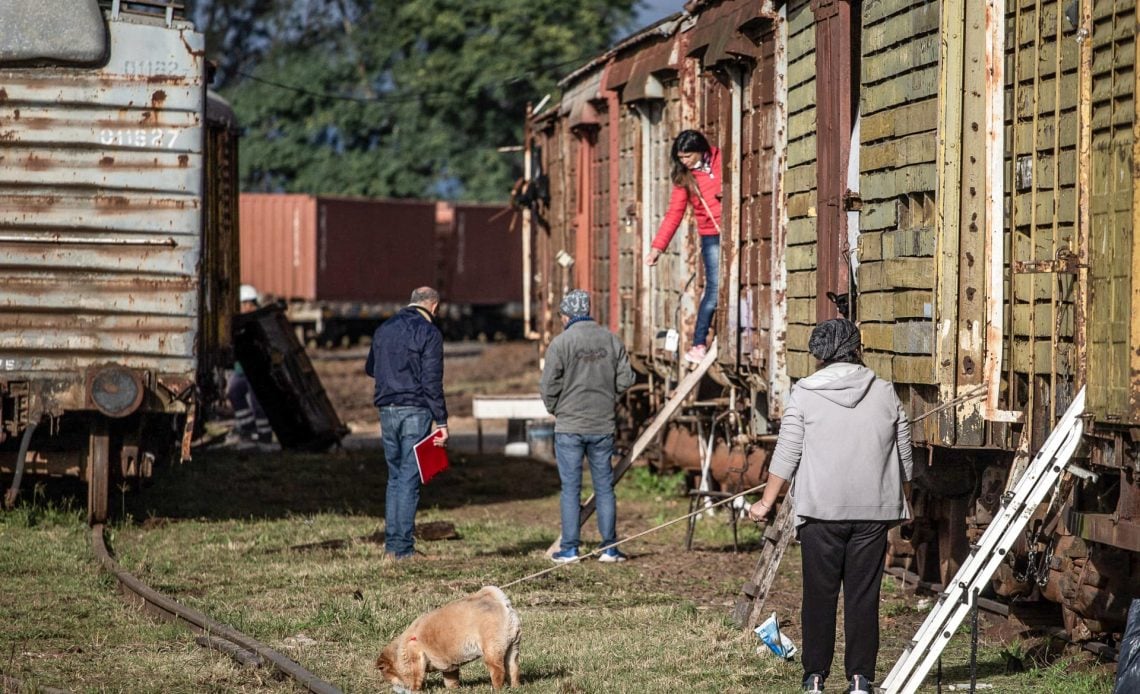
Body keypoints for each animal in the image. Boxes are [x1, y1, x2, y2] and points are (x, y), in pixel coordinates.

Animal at [378, 583, 522, 688]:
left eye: (385, 673)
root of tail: (500, 601)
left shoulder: (415, 658)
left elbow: (415, 679)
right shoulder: (449, 666)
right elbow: (451, 680)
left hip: (492, 650)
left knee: (498, 671)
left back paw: (497, 688)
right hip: (513, 648)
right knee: (513, 669)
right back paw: (515, 687)